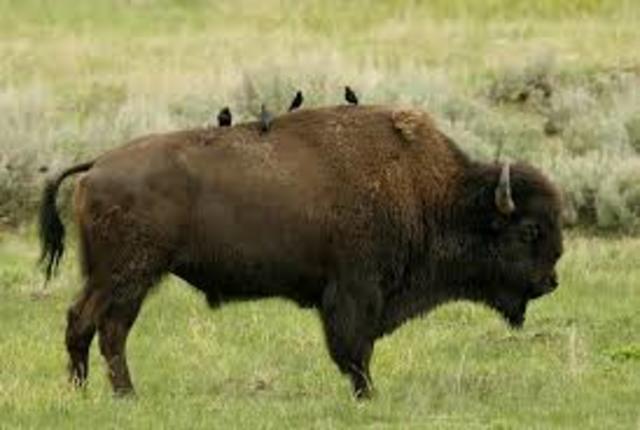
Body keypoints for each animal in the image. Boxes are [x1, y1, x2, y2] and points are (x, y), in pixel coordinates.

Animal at [39, 105, 563, 398]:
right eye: (529, 231)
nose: (550, 281)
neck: (429, 193)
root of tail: (97, 166)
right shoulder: (354, 291)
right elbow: (354, 349)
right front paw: (368, 395)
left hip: (114, 277)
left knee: (88, 325)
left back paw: (88, 392)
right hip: (128, 277)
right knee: (100, 328)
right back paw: (122, 395)